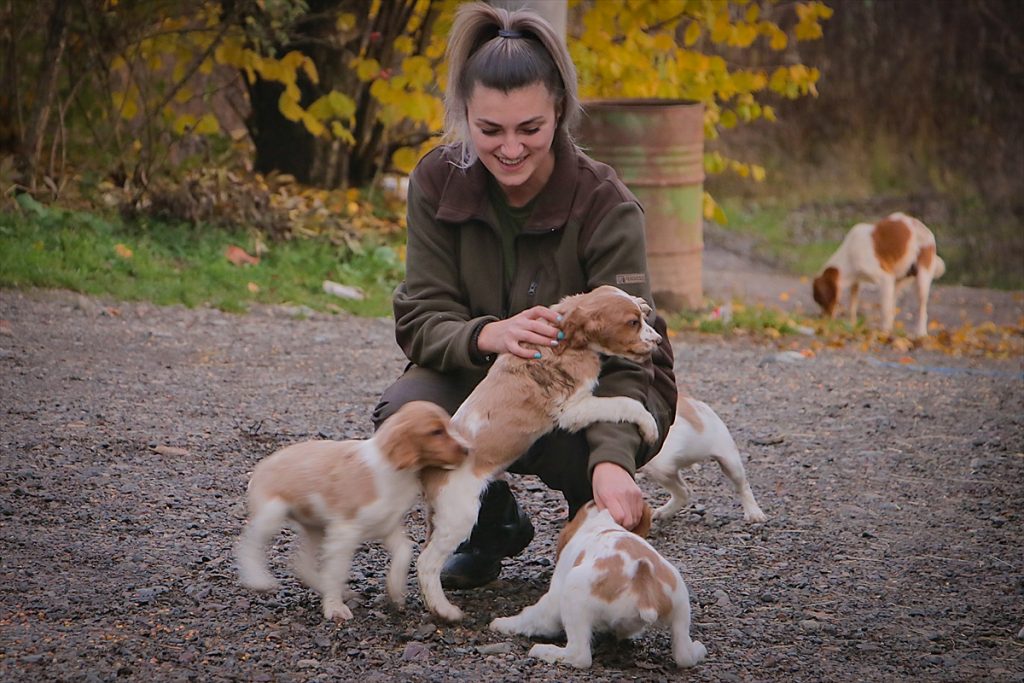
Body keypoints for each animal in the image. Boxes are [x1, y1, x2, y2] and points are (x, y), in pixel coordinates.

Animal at [417, 286, 663, 622]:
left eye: (642, 317)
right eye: (632, 323)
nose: (659, 341)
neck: (563, 337)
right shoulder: (573, 409)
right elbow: (625, 403)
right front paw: (649, 426)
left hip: (442, 516)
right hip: (459, 514)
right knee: (427, 562)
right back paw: (444, 609)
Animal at [487, 499, 704, 671]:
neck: (600, 522)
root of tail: (643, 581)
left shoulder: (552, 601)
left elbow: (529, 617)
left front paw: (502, 623)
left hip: (572, 594)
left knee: (579, 656)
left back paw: (545, 651)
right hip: (681, 607)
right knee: (684, 656)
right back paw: (698, 649)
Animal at [811, 209, 946, 335]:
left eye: (820, 300)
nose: (821, 318)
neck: (849, 255)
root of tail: (927, 231)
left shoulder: (885, 278)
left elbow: (884, 309)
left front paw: (884, 331)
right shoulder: (857, 282)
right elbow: (853, 305)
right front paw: (852, 324)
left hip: (921, 279)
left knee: (922, 309)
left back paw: (920, 333)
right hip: (899, 280)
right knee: (893, 305)